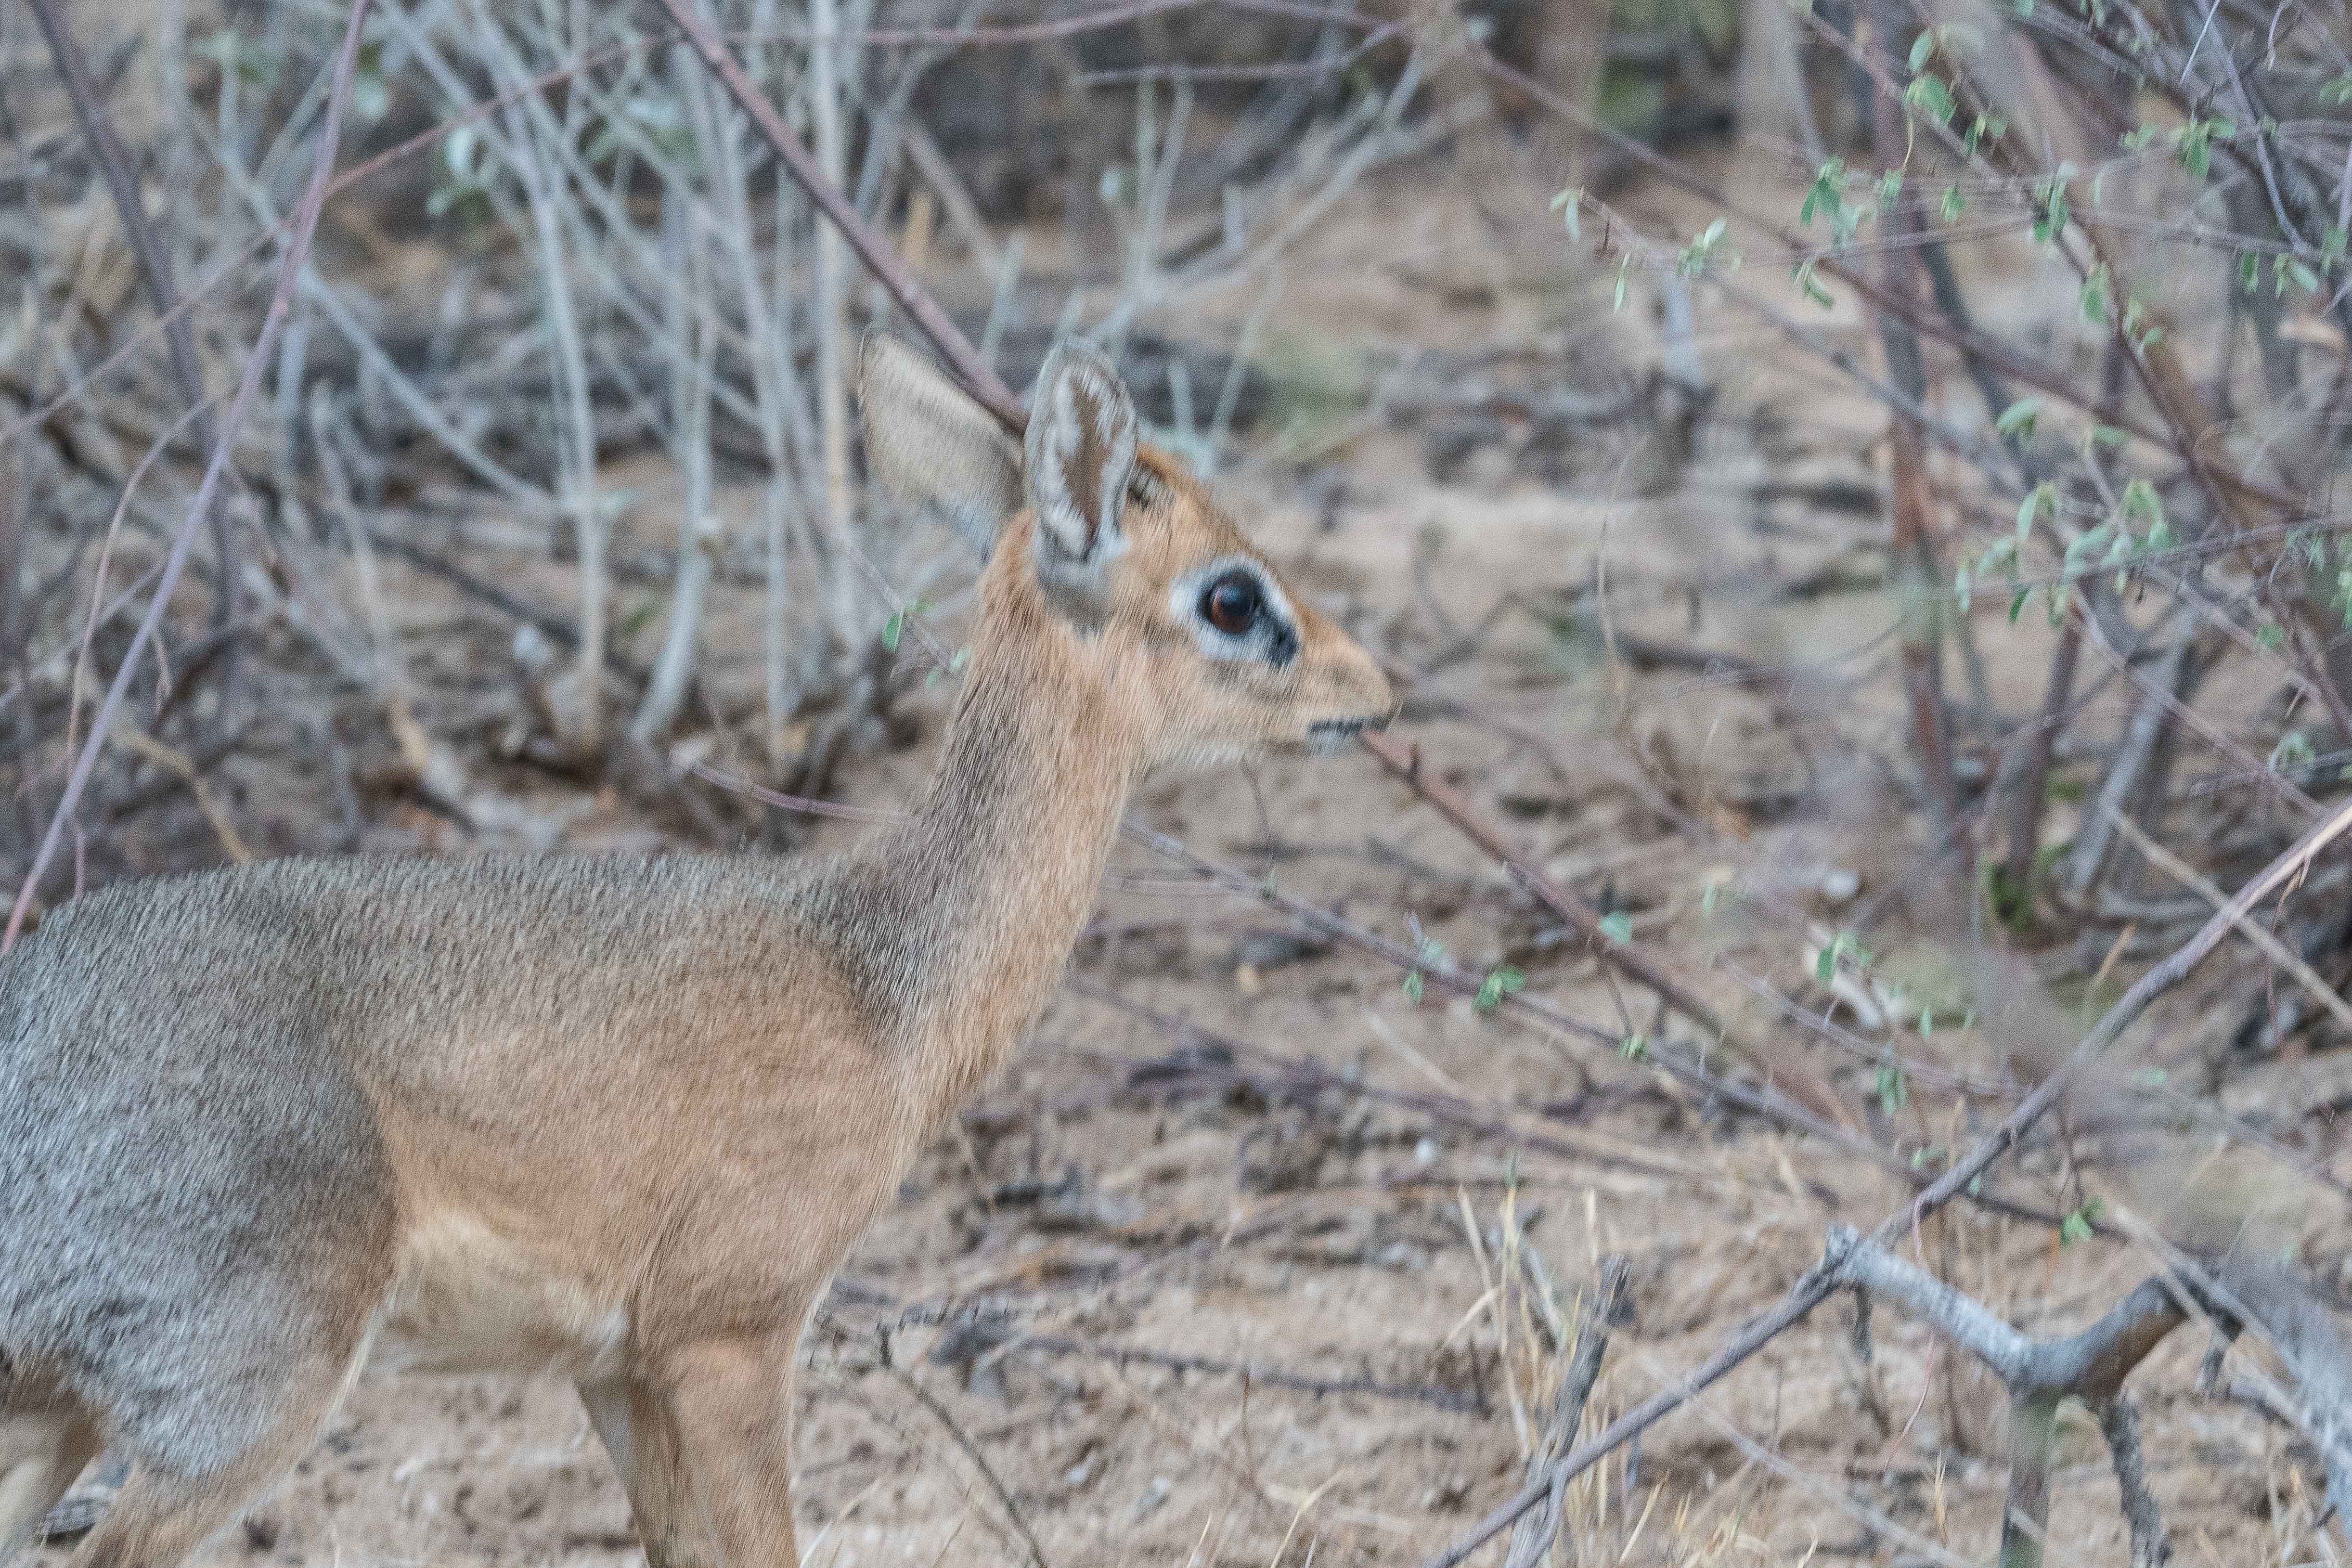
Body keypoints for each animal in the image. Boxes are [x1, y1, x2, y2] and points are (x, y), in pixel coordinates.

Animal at [0, 341, 1392, 1568]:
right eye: (1232, 595)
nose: (1376, 691)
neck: (879, 978)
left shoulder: (615, 1369)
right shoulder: (730, 1334)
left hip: (52, 1411)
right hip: (239, 1391)